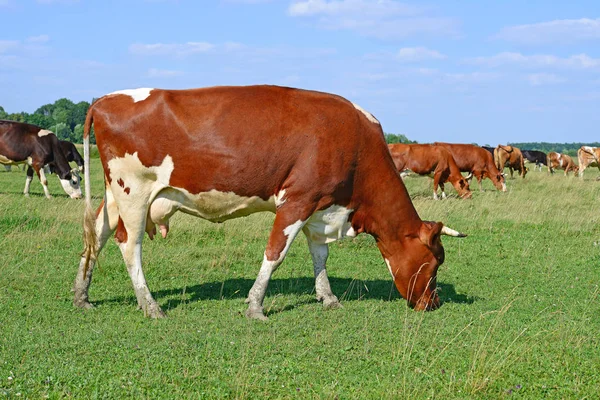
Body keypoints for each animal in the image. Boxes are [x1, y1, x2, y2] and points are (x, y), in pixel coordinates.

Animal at [72, 86, 468, 320]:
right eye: (435, 262)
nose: (433, 303)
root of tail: (105, 99)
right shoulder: (298, 199)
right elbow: (275, 253)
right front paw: (255, 305)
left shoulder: (320, 206)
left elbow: (320, 255)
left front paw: (328, 298)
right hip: (133, 192)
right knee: (129, 244)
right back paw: (150, 304)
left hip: (114, 195)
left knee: (97, 236)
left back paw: (81, 295)